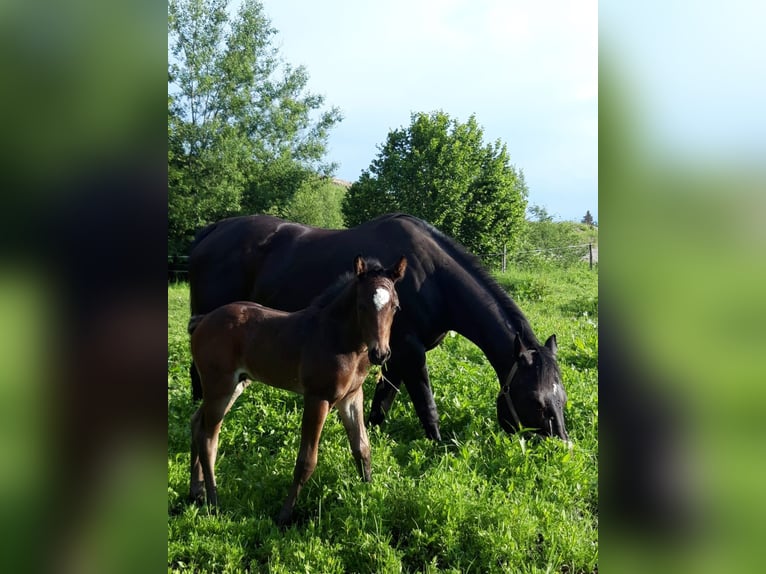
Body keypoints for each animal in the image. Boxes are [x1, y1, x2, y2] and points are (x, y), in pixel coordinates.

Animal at [188, 255, 407, 526]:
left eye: (395, 307)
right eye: (362, 305)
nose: (381, 354)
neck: (338, 338)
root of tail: (202, 321)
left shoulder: (351, 397)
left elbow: (362, 448)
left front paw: (368, 494)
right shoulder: (317, 398)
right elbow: (306, 461)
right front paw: (284, 516)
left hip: (233, 386)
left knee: (197, 423)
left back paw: (195, 492)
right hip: (220, 387)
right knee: (209, 438)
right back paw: (214, 502)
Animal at [189, 213, 569, 443]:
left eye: (561, 397)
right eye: (535, 400)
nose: (561, 447)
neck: (430, 277)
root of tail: (213, 231)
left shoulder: (396, 352)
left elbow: (383, 400)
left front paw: (370, 432)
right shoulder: (411, 352)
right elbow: (425, 404)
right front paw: (441, 447)